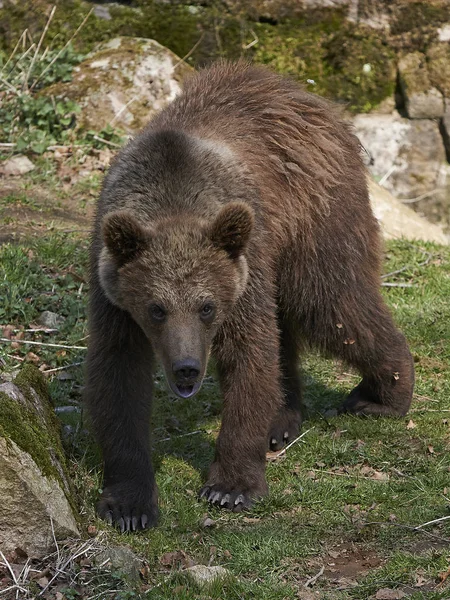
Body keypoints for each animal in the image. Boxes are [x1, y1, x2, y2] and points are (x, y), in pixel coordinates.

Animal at [84, 59, 414, 528]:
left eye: (206, 306)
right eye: (156, 309)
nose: (187, 368)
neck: (173, 195)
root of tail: (307, 95)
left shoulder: (242, 272)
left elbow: (249, 356)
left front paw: (231, 486)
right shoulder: (113, 295)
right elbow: (118, 377)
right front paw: (129, 505)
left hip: (315, 219)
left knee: (333, 305)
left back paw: (381, 396)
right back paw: (283, 420)